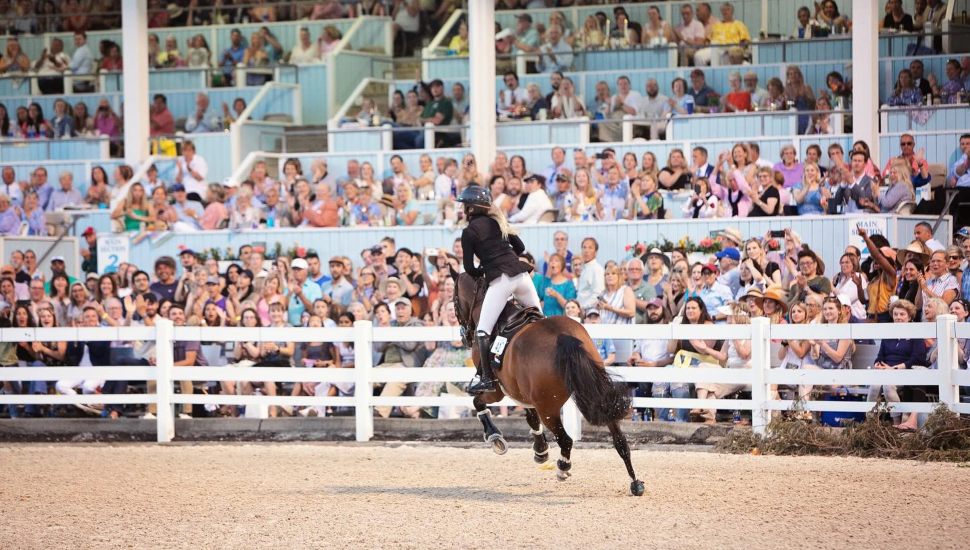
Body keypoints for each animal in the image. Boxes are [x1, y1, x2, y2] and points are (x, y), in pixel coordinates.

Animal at [452, 274, 644, 498]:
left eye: (454, 301)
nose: (464, 336)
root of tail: (564, 337)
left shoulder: (498, 391)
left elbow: (478, 402)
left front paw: (495, 438)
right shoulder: (523, 393)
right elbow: (531, 418)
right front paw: (540, 450)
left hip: (549, 408)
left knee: (566, 440)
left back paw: (562, 468)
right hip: (594, 393)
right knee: (619, 440)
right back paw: (635, 483)